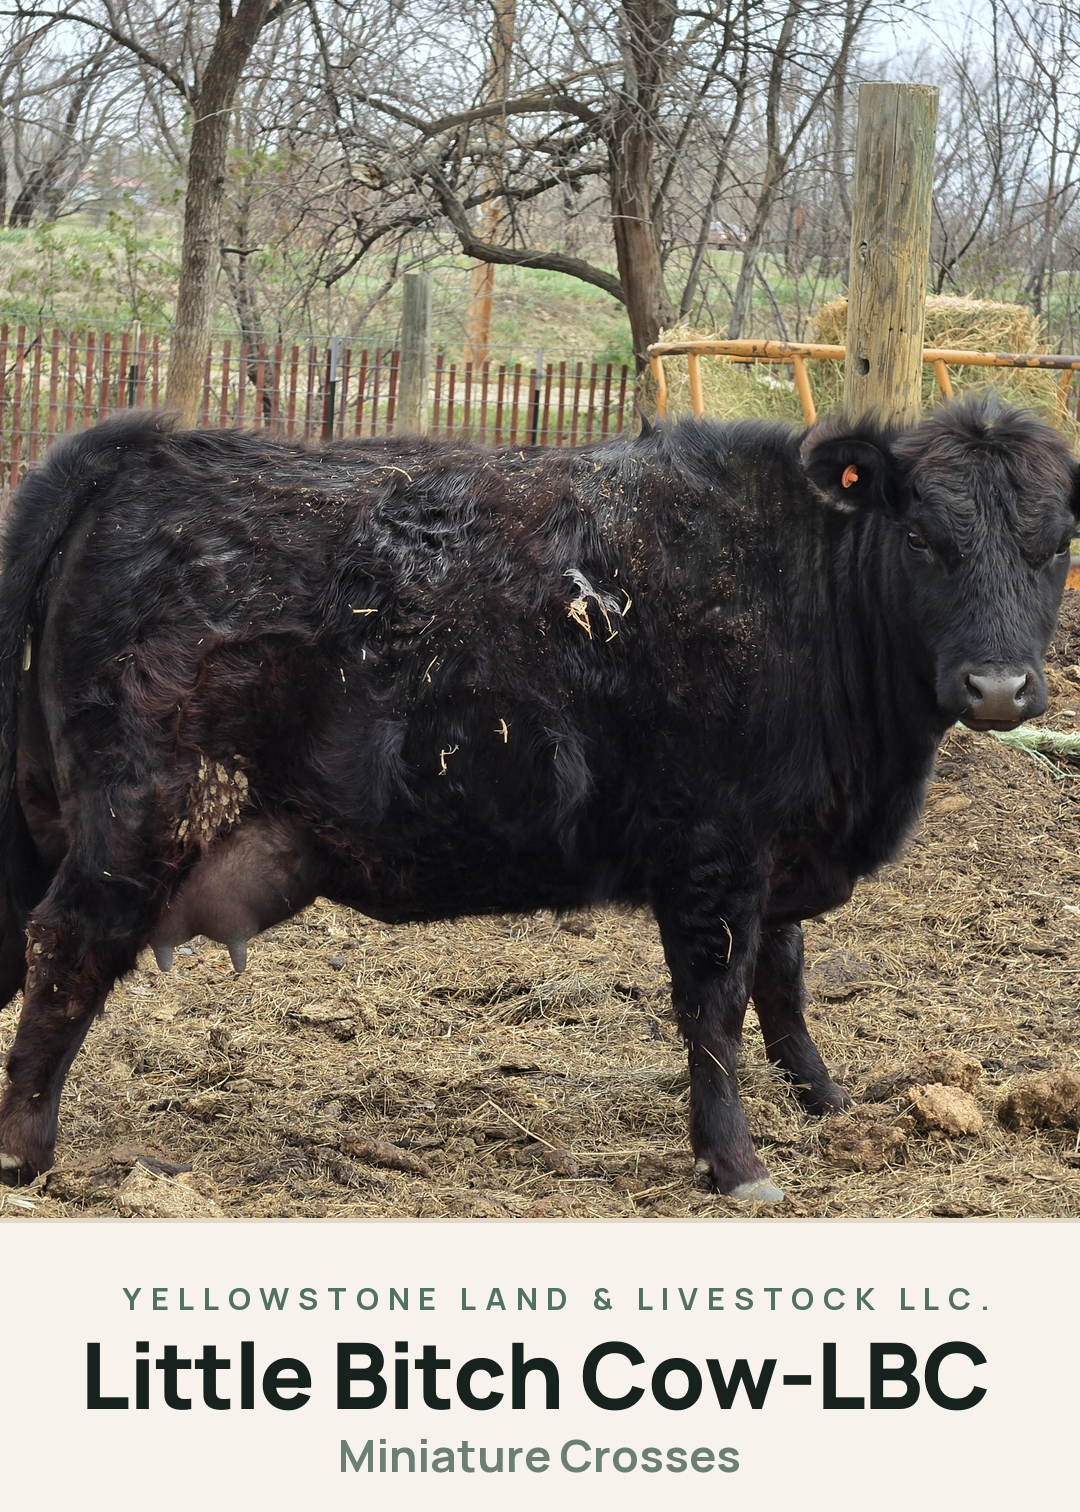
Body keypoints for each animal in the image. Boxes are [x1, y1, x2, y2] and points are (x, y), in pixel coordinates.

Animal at [0, 397, 1076, 1200]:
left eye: (1057, 544)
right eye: (924, 539)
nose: (999, 689)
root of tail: (139, 452)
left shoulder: (777, 851)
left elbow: (786, 980)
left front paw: (827, 1100)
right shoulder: (715, 853)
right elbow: (717, 1006)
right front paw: (735, 1163)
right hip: (141, 819)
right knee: (68, 950)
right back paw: (27, 1151)